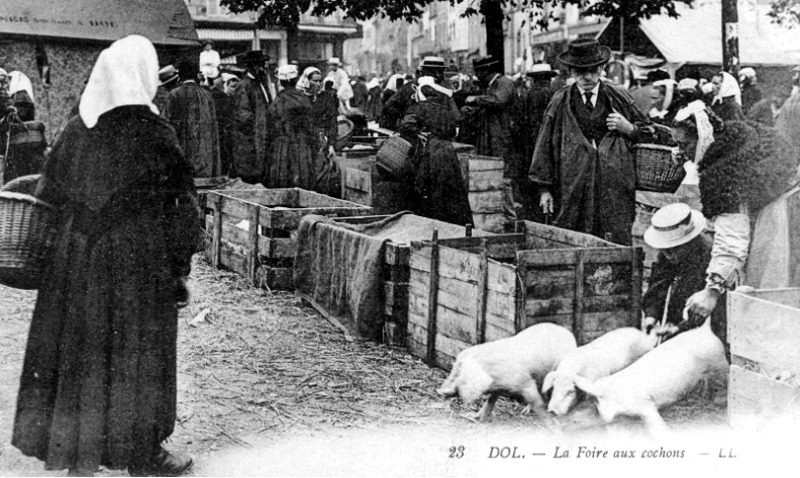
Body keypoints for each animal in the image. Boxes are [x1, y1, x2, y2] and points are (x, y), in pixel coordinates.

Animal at [438, 322, 576, 422]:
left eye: (460, 372)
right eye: (453, 368)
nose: (440, 391)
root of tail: (568, 333)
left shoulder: (525, 382)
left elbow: (534, 399)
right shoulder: (499, 385)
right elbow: (491, 400)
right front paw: (478, 418)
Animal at [572, 320, 728, 436]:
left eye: (598, 400)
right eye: (595, 404)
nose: (602, 416)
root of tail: (705, 329)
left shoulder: (646, 403)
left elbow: (656, 423)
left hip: (720, 361)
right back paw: (706, 396)